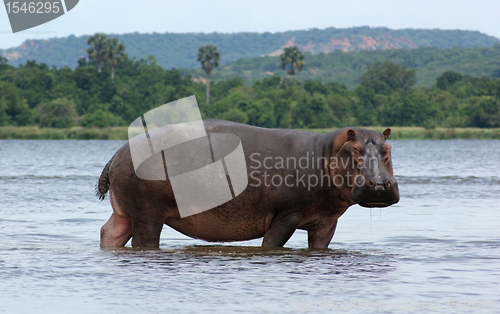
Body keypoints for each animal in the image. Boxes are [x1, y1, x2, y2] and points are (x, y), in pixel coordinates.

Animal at [96, 119, 398, 248]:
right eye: (355, 150)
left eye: (387, 149)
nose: (380, 185)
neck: (325, 153)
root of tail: (117, 152)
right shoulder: (286, 216)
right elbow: (272, 244)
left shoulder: (325, 222)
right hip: (148, 214)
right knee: (144, 240)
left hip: (125, 212)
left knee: (110, 232)